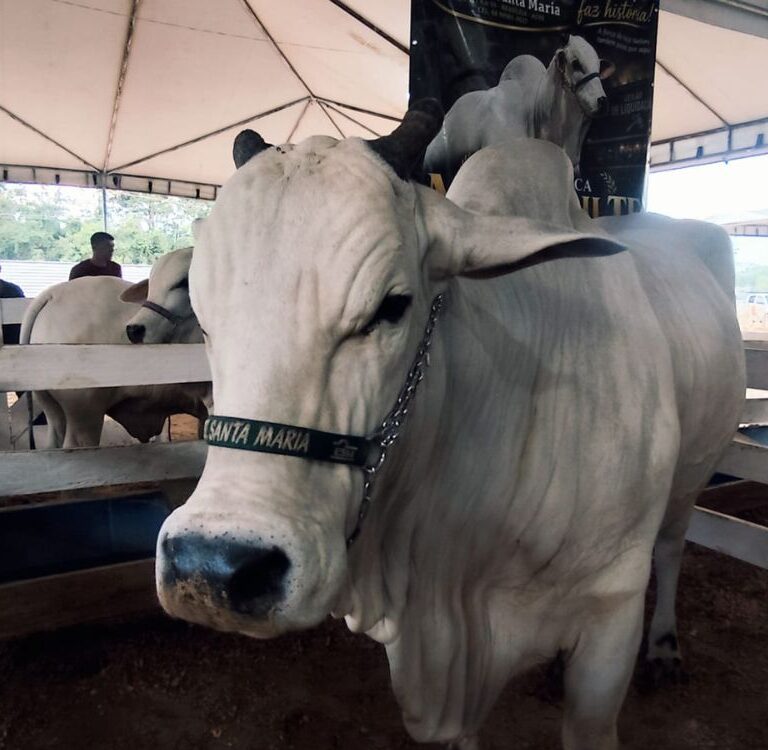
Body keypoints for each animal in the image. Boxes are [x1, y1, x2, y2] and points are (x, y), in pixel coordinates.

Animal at [155, 104, 744, 750]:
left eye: (392, 305)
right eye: (203, 317)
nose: (211, 568)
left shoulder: (609, 626)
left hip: (691, 478)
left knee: (672, 546)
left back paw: (664, 648)